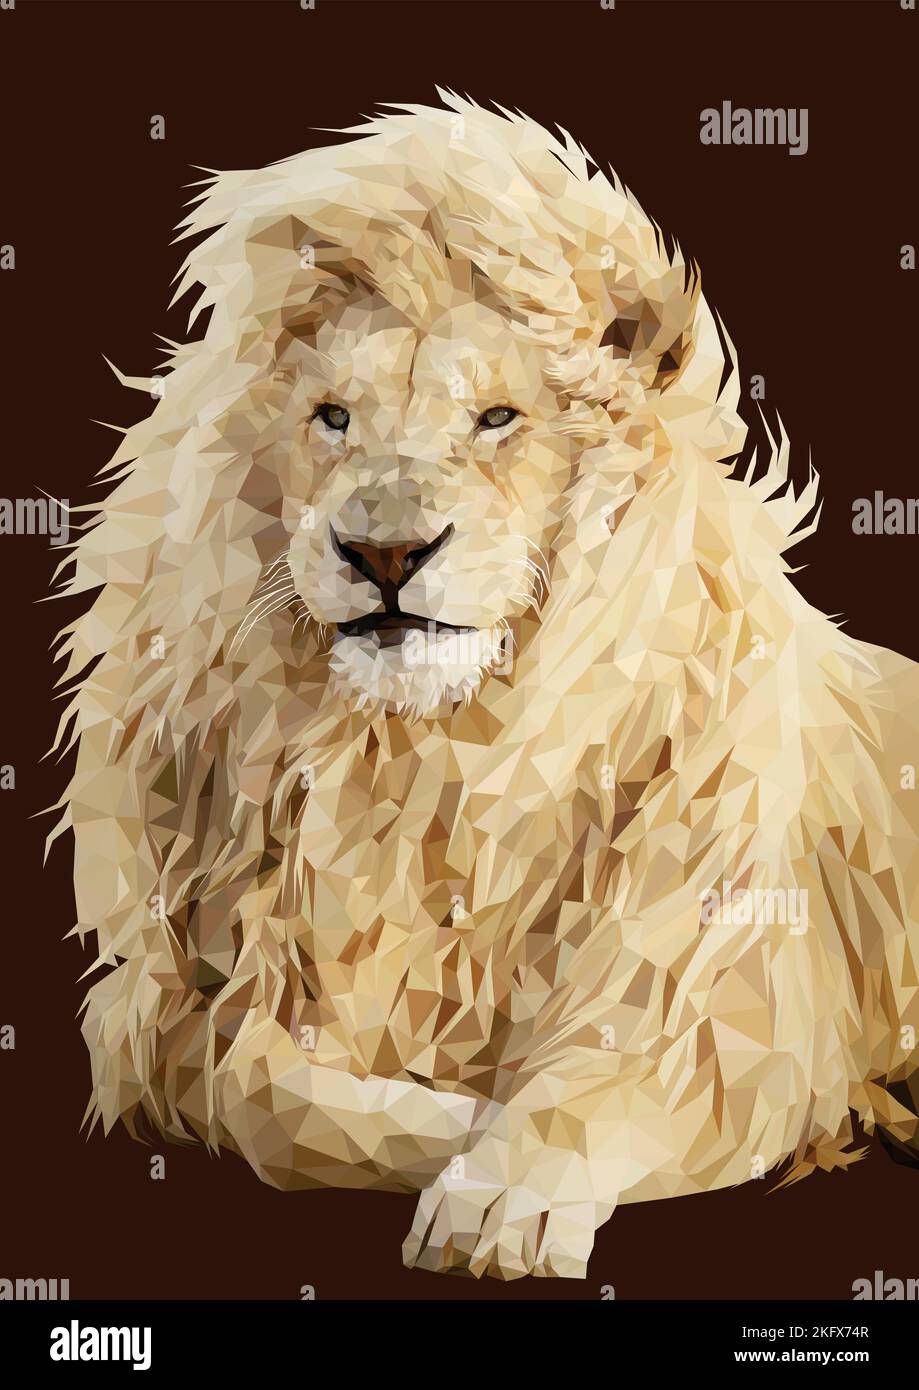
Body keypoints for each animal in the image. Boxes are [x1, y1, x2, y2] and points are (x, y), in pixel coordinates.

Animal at [53, 94, 919, 1281]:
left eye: (499, 418)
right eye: (333, 417)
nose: (383, 551)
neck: (433, 759)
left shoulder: (740, 994)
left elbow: (614, 1070)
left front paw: (509, 1181)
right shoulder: (167, 1004)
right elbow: (260, 1089)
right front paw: (456, 1129)